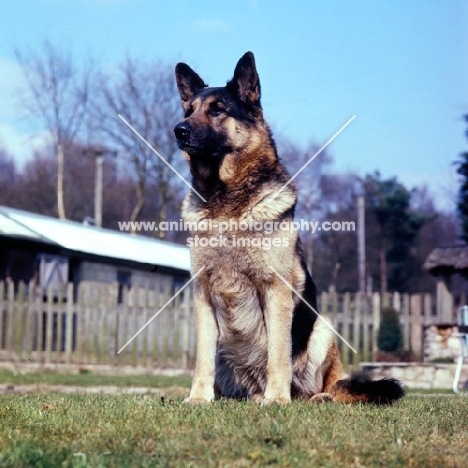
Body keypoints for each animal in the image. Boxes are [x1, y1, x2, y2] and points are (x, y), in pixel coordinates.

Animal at [174, 49, 404, 404]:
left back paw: (310, 397)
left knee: (325, 387)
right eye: (190, 110)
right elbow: (202, 358)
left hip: (322, 328)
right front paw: (199, 398)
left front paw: (278, 399)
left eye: (217, 110)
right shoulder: (203, 293)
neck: (226, 199)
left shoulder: (276, 291)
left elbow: (278, 354)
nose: (178, 130)